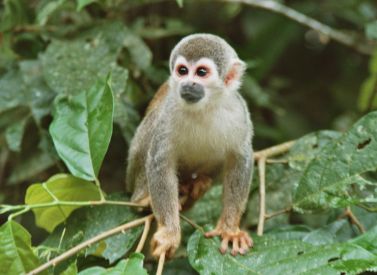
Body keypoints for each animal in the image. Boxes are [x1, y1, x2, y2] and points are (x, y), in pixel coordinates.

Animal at [126, 34, 253, 258]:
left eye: (201, 72)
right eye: (183, 70)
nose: (188, 83)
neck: (204, 107)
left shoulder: (239, 112)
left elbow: (240, 159)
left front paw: (230, 229)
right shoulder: (169, 113)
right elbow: (160, 161)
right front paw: (169, 233)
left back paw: (199, 183)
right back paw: (142, 198)